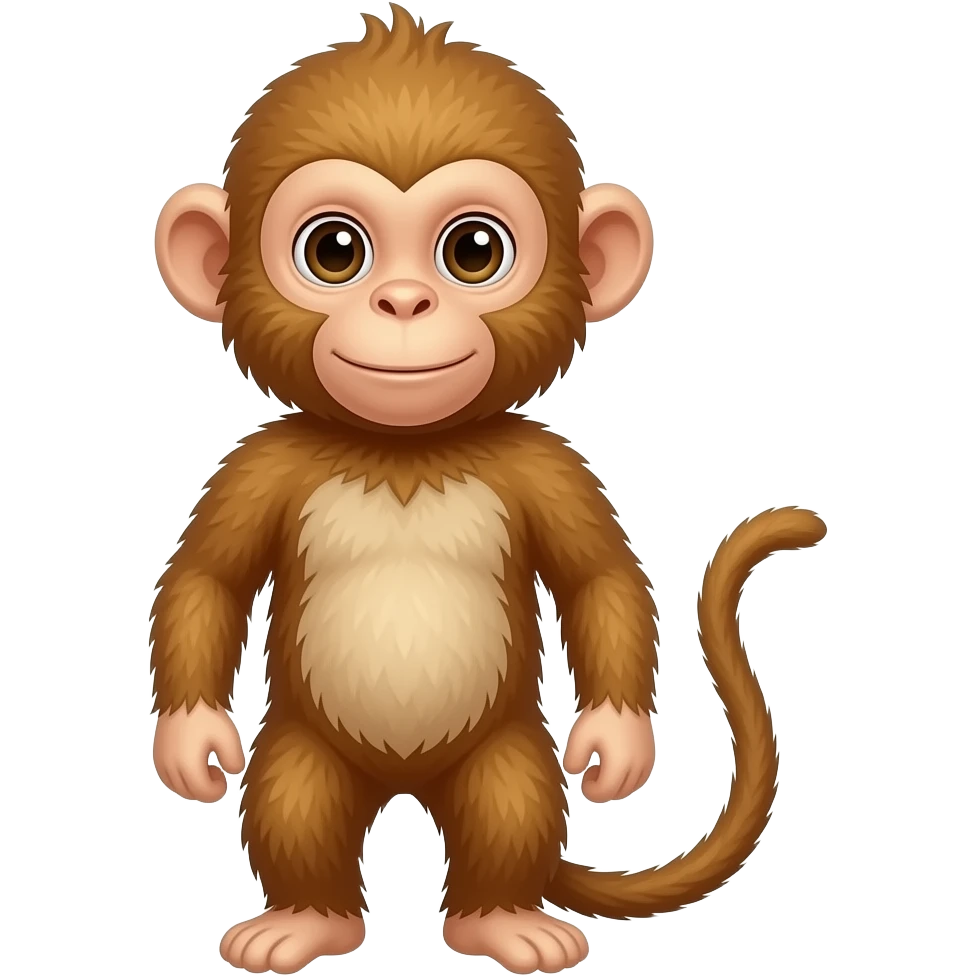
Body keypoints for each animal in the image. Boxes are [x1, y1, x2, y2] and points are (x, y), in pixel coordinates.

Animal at [149, 6, 827, 975]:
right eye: (334, 250)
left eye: (473, 251)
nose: (403, 303)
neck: (405, 451)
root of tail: (405, 781)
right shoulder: (260, 465)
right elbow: (206, 578)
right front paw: (192, 743)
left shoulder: (546, 465)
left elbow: (598, 580)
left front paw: (615, 745)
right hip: (304, 749)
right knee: (294, 802)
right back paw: (306, 920)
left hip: (506, 751)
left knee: (508, 805)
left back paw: (499, 920)